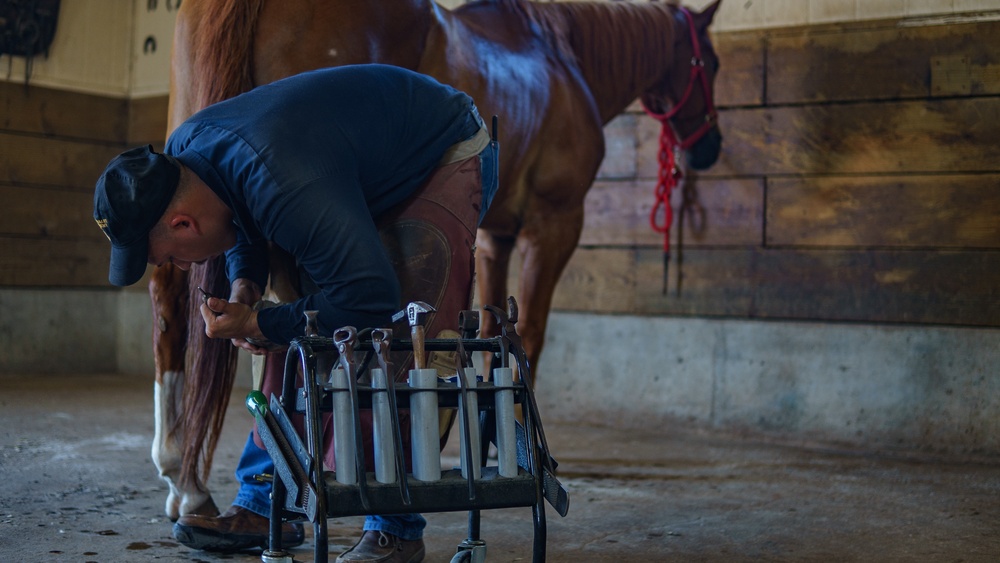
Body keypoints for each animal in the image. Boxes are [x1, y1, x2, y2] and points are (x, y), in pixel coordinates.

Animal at [152, 0, 724, 520]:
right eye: (712, 63)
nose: (710, 148)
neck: (564, 55)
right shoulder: (554, 223)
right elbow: (531, 333)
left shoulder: (495, 236)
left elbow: (491, 333)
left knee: (175, 301)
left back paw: (189, 484)